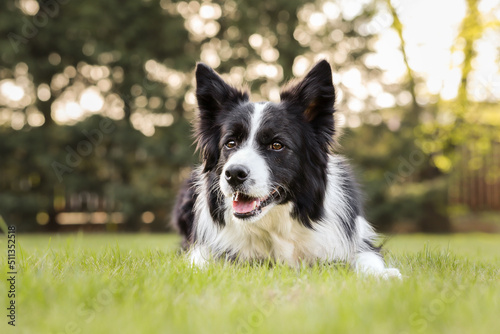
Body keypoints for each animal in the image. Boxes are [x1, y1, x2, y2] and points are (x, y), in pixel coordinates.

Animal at [172, 60, 402, 280]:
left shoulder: (354, 241)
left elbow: (367, 258)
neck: (275, 221)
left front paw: (383, 274)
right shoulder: (205, 249)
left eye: (277, 145)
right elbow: (203, 262)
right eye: (230, 143)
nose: (234, 174)